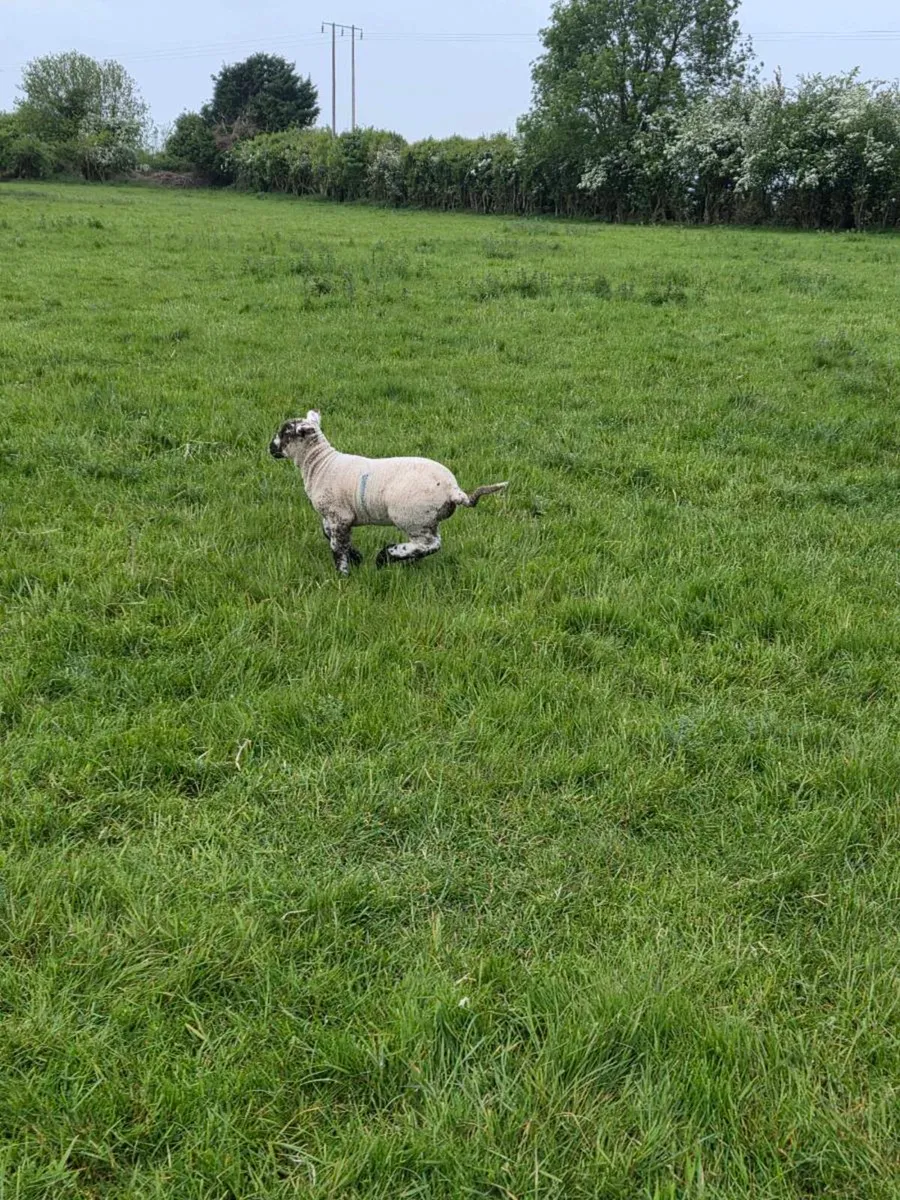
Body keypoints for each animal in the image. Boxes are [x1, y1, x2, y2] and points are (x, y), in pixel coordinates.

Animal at [268, 410, 507, 575]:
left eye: (284, 432)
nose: (270, 448)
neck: (321, 464)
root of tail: (453, 490)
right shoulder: (332, 517)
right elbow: (329, 535)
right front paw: (356, 556)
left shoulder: (339, 516)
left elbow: (337, 546)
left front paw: (343, 573)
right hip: (428, 520)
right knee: (432, 544)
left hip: (412, 517)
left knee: (429, 544)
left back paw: (387, 555)